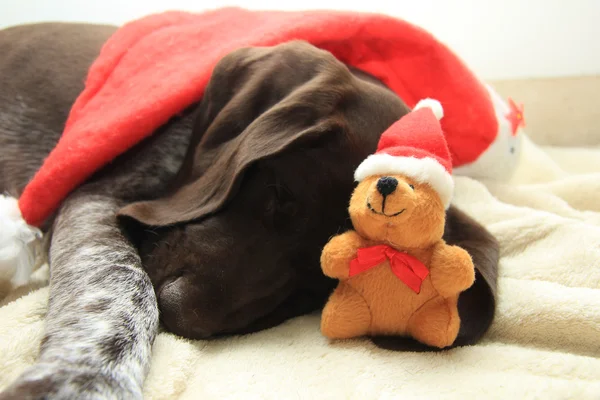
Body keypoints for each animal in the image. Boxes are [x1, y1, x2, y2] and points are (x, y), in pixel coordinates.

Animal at [0, 22, 496, 400]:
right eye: (280, 191)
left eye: (325, 278)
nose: (180, 311)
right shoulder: (94, 199)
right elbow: (118, 285)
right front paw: (81, 380)